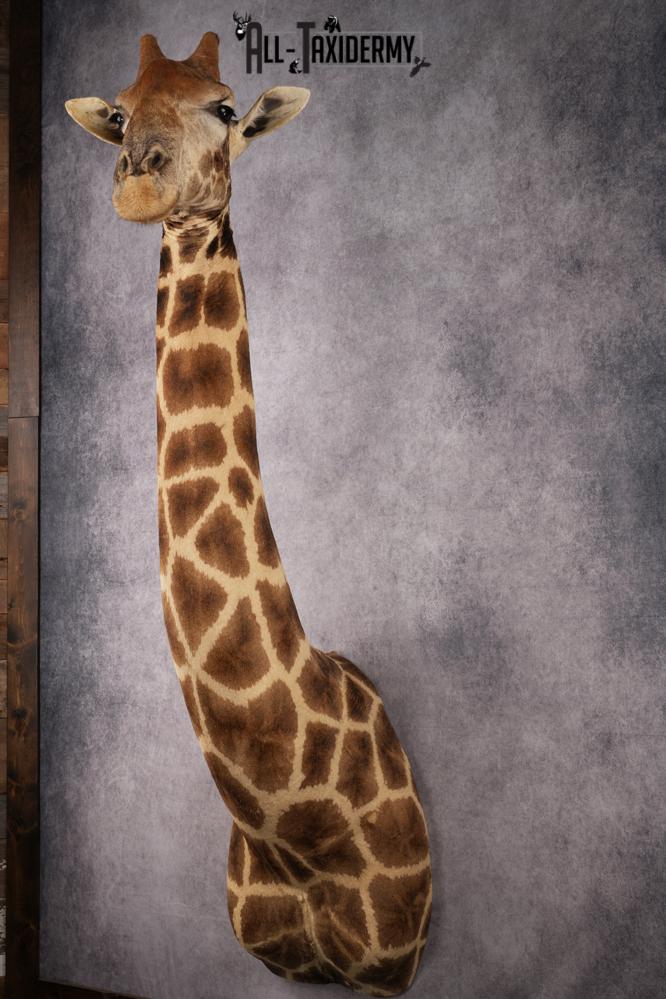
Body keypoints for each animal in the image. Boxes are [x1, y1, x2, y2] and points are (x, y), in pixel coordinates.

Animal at [66, 32, 432, 996]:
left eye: (226, 108)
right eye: (119, 108)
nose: (138, 180)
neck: (300, 840)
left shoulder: (387, 972)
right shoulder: (282, 962)